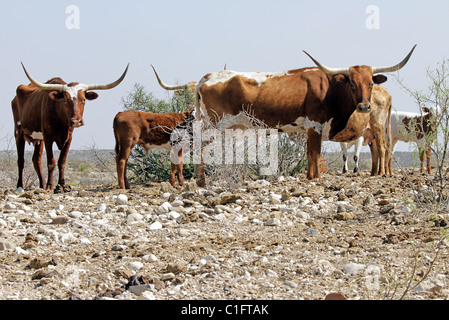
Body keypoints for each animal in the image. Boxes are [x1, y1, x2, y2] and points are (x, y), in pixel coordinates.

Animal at [12, 62, 128, 192]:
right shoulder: (48, 137)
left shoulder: (69, 137)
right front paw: (50, 185)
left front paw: (62, 185)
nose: (76, 121)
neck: (60, 118)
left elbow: (62, 161)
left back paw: (42, 184)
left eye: (83, 99)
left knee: (36, 160)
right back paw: (20, 185)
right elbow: (51, 162)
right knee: (20, 160)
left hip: (38, 139)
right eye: (65, 100)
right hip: (18, 132)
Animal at [152, 44, 414, 185]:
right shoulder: (315, 125)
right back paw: (203, 181)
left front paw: (310, 176)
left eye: (370, 83)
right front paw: (316, 179)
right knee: (203, 149)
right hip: (215, 125)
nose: (364, 108)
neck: (329, 88)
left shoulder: (309, 129)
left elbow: (310, 155)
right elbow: (315, 153)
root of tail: (208, 76)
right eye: (351, 82)